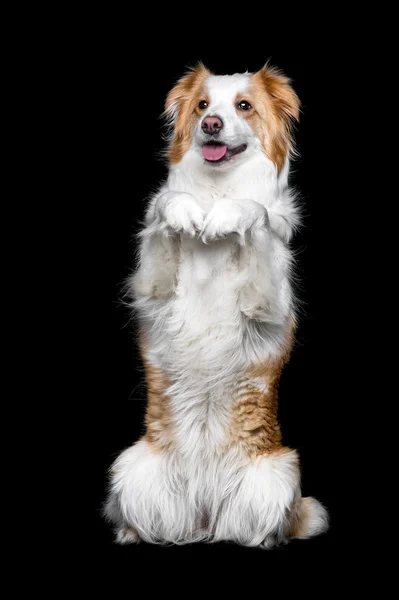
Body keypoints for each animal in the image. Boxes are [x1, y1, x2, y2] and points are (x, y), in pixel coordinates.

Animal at [104, 63, 330, 548]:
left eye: (244, 106)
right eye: (203, 106)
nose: (210, 124)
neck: (216, 190)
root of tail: (205, 515)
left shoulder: (269, 302)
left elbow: (255, 213)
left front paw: (228, 216)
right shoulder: (152, 287)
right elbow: (164, 206)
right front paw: (184, 212)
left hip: (279, 474)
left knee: (255, 526)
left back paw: (266, 539)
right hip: (132, 466)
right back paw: (132, 533)